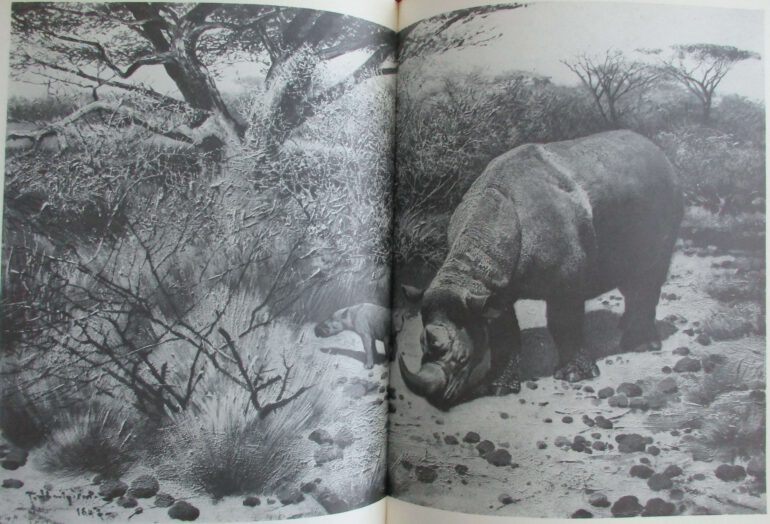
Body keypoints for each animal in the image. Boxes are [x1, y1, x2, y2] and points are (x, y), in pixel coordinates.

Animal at [399, 130, 683, 410]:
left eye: (462, 359)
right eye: (421, 345)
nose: (433, 400)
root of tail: (659, 151)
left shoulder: (565, 283)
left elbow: (564, 322)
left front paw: (573, 376)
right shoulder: (492, 291)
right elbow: (504, 334)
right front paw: (499, 388)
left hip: (666, 195)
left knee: (649, 275)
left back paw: (641, 345)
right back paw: (624, 327)